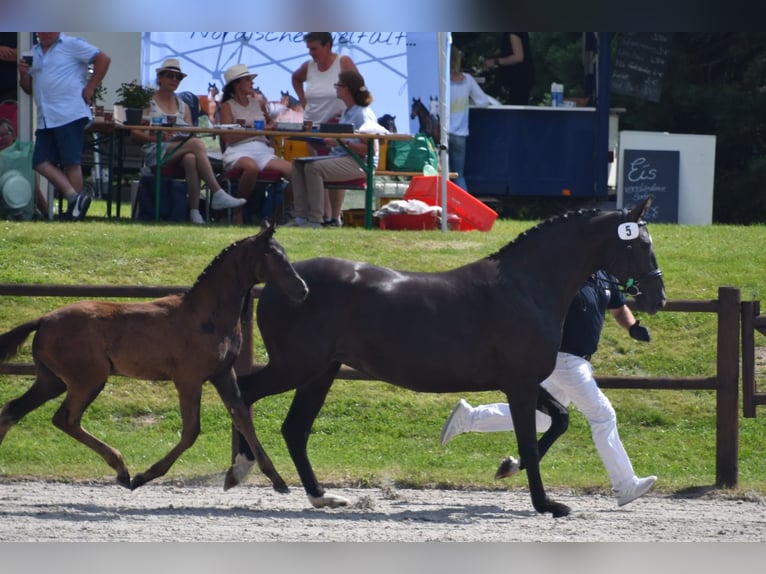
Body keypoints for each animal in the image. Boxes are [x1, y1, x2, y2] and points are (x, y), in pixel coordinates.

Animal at [0, 224, 308, 492]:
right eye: (275, 256)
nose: (302, 289)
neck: (206, 314)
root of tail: (43, 320)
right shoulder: (188, 379)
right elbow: (191, 431)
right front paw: (144, 476)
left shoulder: (223, 374)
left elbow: (244, 419)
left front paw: (277, 481)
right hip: (87, 379)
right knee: (65, 418)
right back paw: (122, 470)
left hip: (51, 380)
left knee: (14, 410)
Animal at [226, 199, 665, 518]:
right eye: (641, 244)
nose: (657, 297)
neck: (527, 286)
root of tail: (281, 283)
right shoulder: (520, 384)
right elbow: (530, 438)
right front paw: (547, 504)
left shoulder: (524, 382)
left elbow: (558, 420)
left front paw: (508, 467)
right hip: (296, 367)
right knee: (244, 394)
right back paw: (242, 470)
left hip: (320, 372)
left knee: (293, 429)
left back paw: (319, 496)